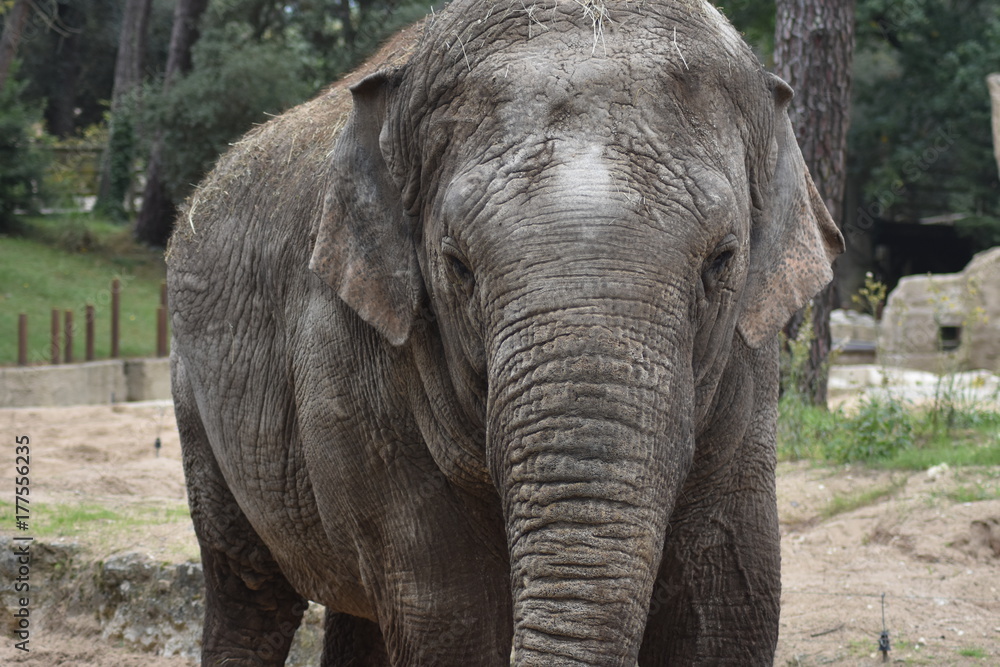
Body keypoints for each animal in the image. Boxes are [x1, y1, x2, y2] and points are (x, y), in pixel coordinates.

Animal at [166, 0, 843, 665]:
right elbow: (454, 615)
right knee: (247, 588)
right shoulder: (348, 352)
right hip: (191, 396)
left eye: (722, 260)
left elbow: (727, 606)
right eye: (458, 266)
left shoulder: (749, 369)